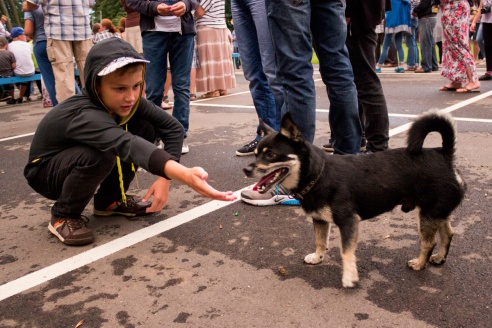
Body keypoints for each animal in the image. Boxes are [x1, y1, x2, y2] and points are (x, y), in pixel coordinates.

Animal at [244, 110, 468, 288]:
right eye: (255, 154)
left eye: (270, 155)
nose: (246, 169)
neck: (318, 174)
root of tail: (444, 154)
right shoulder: (320, 219)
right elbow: (319, 241)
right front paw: (317, 257)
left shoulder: (348, 222)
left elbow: (345, 252)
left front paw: (349, 277)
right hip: (437, 211)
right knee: (448, 233)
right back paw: (439, 258)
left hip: (428, 214)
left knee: (429, 242)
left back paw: (420, 263)